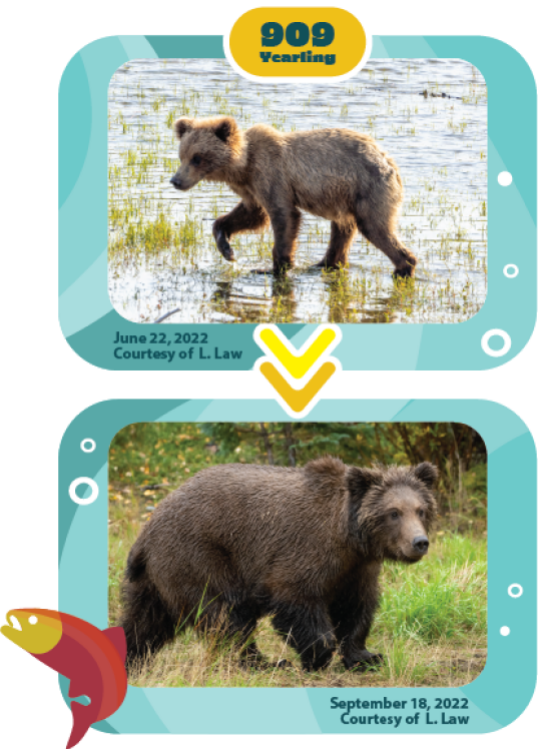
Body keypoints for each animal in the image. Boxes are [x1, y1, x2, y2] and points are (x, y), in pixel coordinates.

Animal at [120, 457, 437, 673]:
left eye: (421, 510)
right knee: (224, 615)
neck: (349, 538)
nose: (420, 542)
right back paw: (262, 662)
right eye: (394, 513)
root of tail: (148, 529)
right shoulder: (306, 553)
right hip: (199, 557)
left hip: (156, 576)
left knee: (145, 621)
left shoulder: (357, 570)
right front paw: (317, 655)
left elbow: (356, 609)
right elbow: (298, 600)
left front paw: (366, 656)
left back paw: (131, 659)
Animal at [170, 116, 417, 278]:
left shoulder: (272, 176)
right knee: (342, 230)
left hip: (369, 188)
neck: (244, 166)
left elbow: (283, 216)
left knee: (375, 227)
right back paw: (326, 263)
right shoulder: (251, 189)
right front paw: (226, 248)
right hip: (345, 197)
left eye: (197, 158)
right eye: (182, 155)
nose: (176, 180)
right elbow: (252, 214)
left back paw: (404, 267)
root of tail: (390, 162)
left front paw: (274, 266)